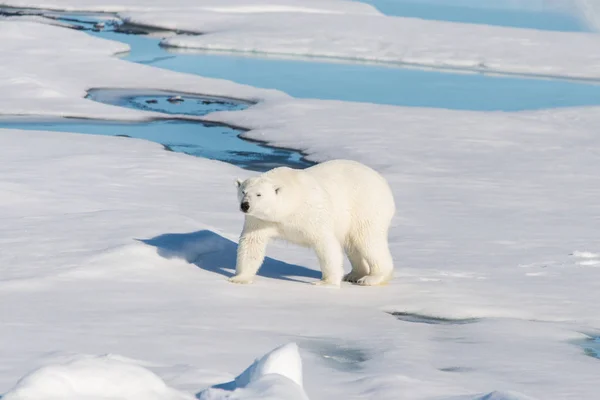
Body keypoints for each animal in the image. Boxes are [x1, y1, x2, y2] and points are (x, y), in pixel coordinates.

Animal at [229, 158, 394, 286]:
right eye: (243, 191)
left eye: (259, 194)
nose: (245, 205)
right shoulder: (260, 220)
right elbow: (252, 242)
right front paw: (239, 279)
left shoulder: (312, 212)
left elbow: (325, 243)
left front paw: (326, 282)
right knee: (352, 244)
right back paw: (354, 275)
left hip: (366, 206)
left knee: (368, 240)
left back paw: (372, 278)